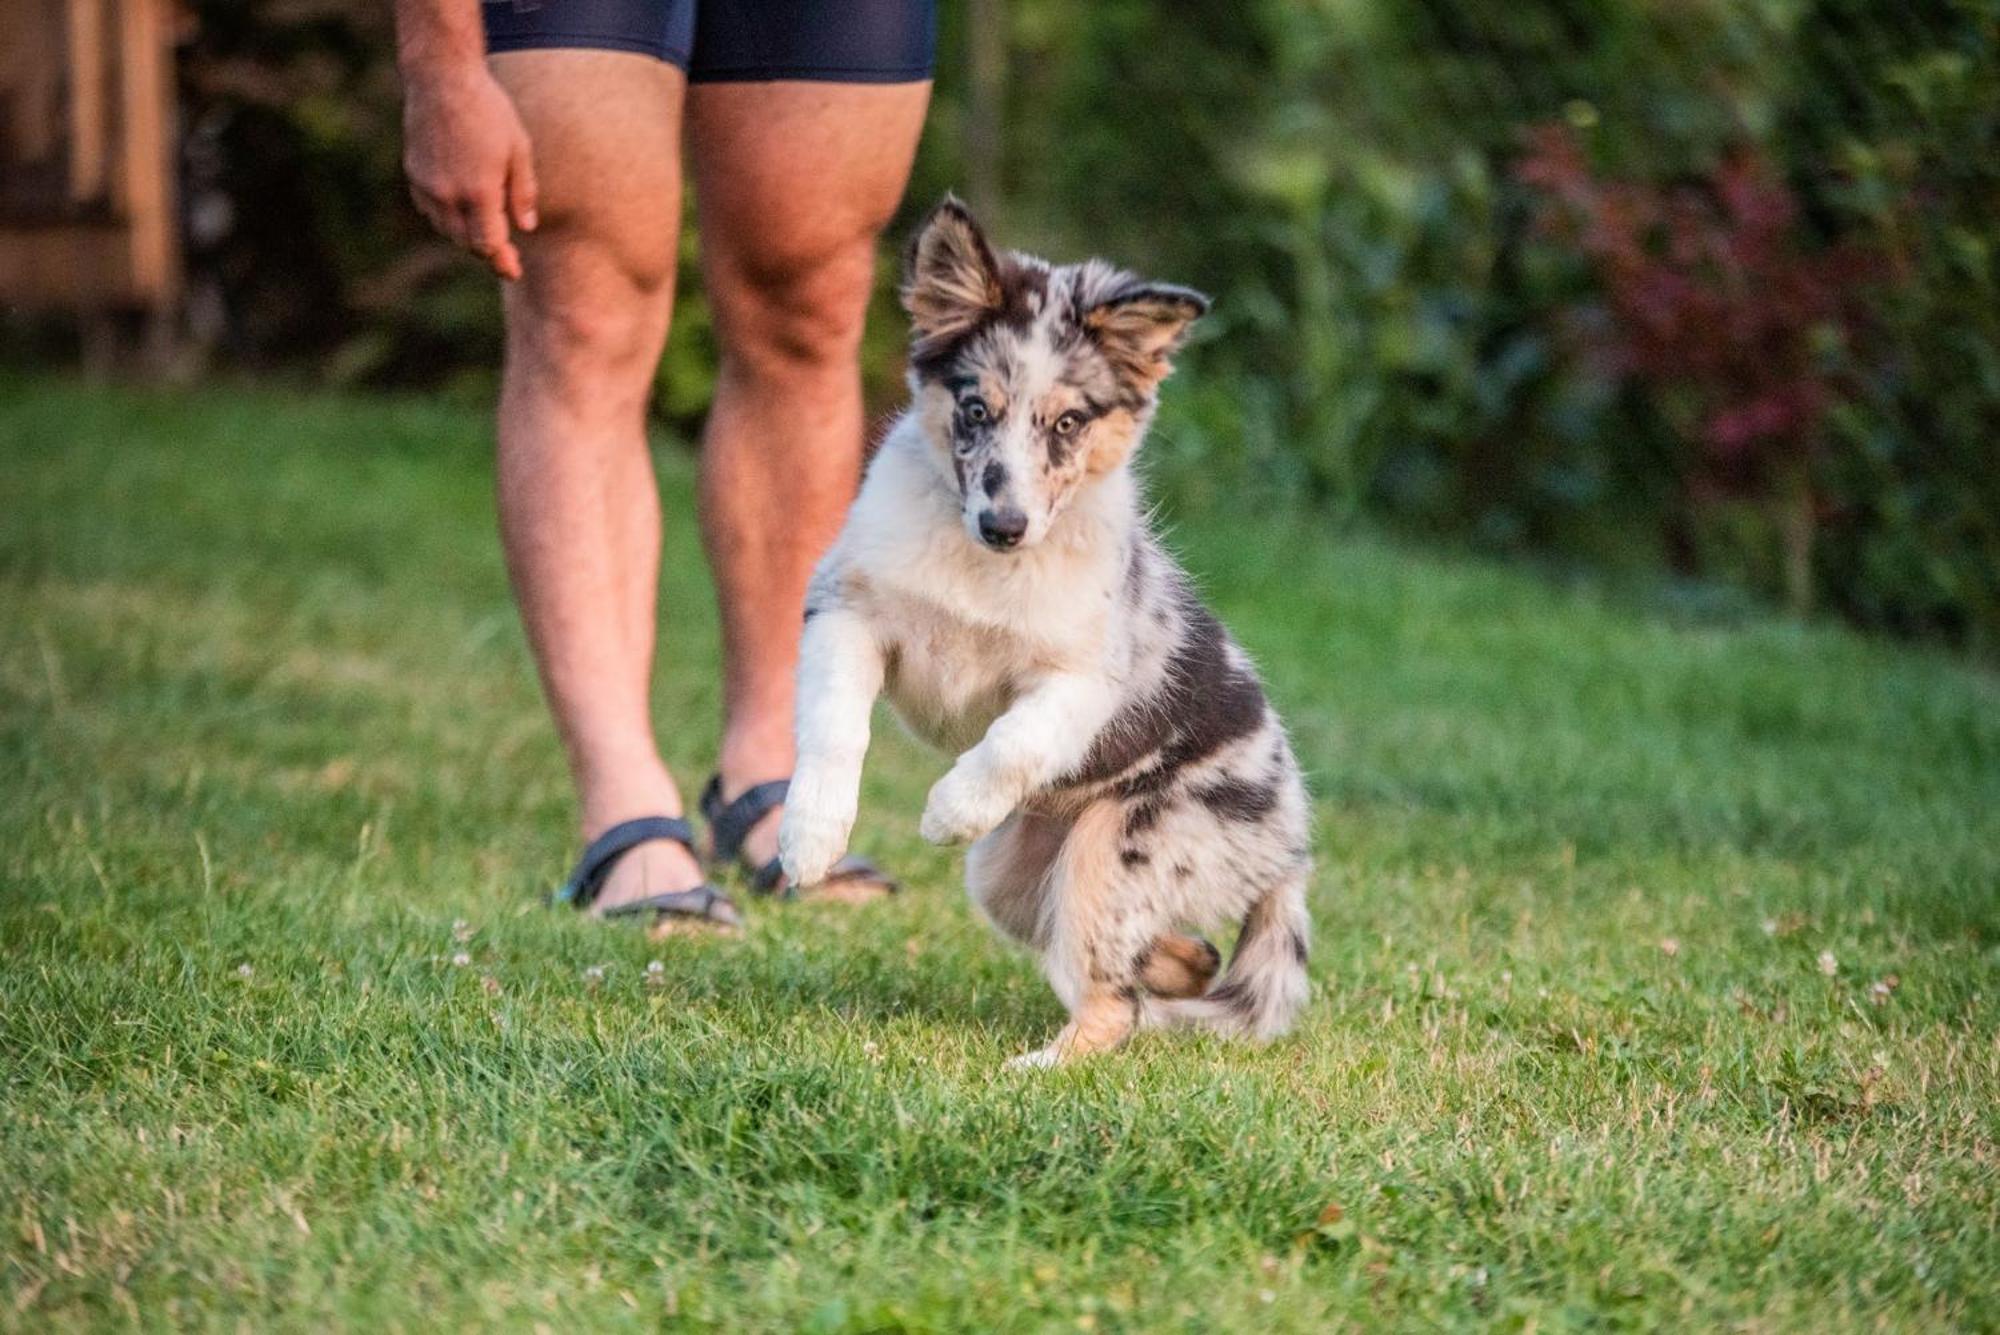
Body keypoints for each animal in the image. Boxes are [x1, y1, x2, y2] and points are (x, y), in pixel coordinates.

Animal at [772, 197, 1304, 1071]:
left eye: (1068, 422)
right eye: (974, 410)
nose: (1005, 524)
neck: (980, 562)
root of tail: (1292, 850)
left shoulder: (1084, 678)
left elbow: (1014, 742)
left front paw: (947, 809)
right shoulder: (846, 610)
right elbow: (833, 728)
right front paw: (809, 839)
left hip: (1112, 852)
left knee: (1114, 999)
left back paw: (1039, 1070)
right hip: (1012, 873)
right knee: (1174, 956)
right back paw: (1174, 967)